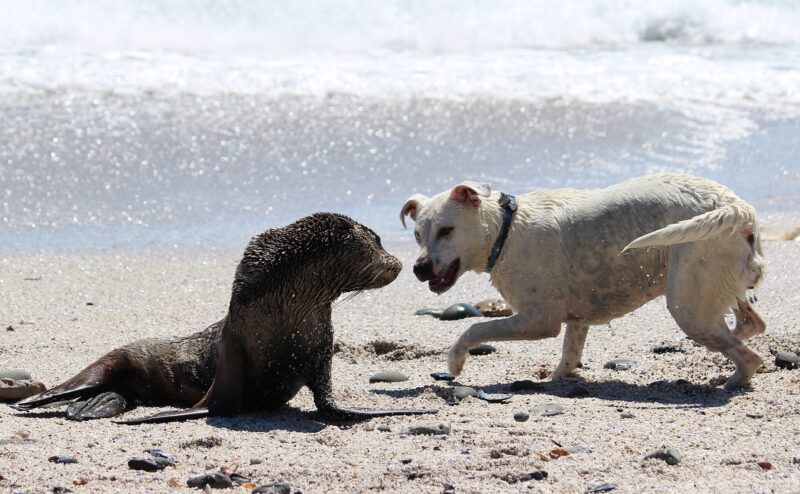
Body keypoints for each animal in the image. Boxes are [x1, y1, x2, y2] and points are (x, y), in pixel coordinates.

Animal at [404, 174, 764, 390]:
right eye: (418, 234)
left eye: (446, 231)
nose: (419, 269)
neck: (506, 230)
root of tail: (736, 205)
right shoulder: (576, 319)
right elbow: (569, 352)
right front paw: (558, 378)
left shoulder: (538, 320)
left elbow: (475, 328)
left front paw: (455, 360)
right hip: (714, 287)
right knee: (752, 324)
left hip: (688, 307)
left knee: (750, 358)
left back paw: (729, 382)